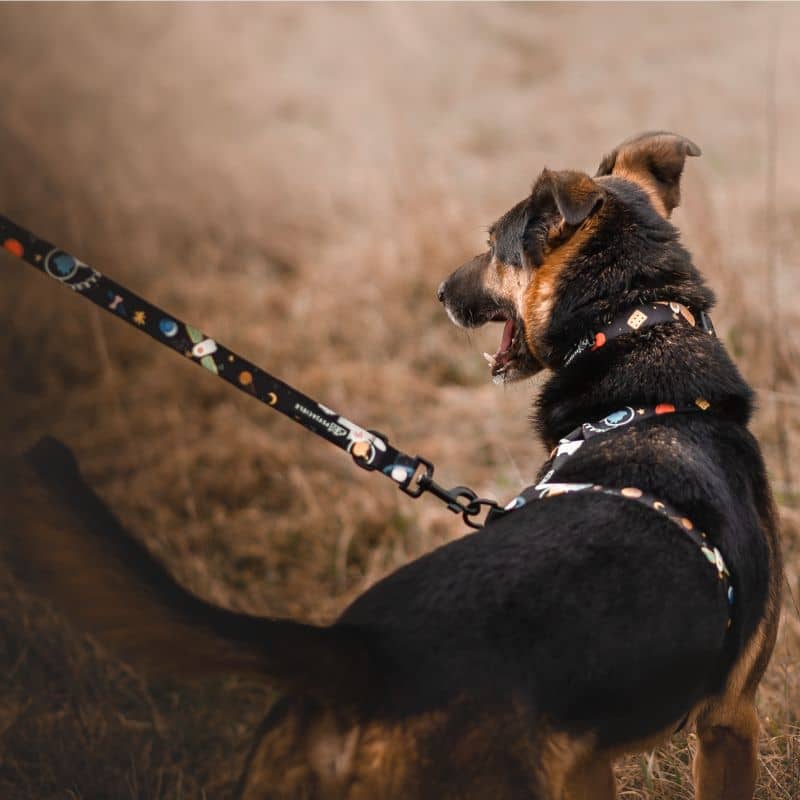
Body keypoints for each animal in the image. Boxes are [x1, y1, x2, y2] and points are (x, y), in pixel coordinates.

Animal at [0, 131, 780, 792]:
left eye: (490, 245)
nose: (437, 292)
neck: (639, 338)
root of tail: (360, 654)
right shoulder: (729, 722)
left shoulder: (594, 754)